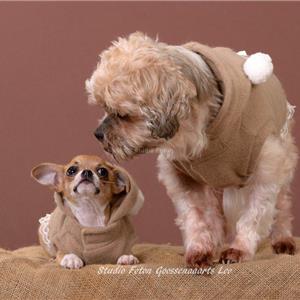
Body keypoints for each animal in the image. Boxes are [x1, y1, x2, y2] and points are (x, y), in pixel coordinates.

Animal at [86, 32, 298, 268]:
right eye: (104, 108)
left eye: (123, 115)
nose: (97, 133)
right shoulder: (182, 177)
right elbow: (195, 215)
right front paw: (199, 249)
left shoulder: (265, 170)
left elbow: (254, 213)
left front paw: (239, 249)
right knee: (215, 215)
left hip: (283, 160)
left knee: (282, 203)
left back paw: (283, 238)